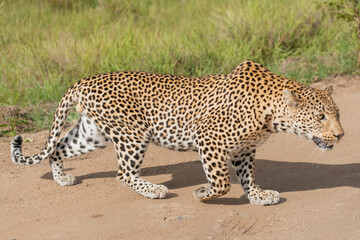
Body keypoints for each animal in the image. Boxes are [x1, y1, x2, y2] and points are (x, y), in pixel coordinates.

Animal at [9, 60, 344, 204]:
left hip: (94, 134)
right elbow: (222, 180)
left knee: (57, 148)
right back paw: (154, 190)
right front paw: (204, 193)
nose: (341, 135)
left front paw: (258, 195)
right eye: (320, 116)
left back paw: (62, 179)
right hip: (133, 134)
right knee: (123, 173)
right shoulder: (209, 138)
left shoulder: (245, 149)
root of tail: (86, 79)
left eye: (337, 115)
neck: (272, 114)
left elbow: (247, 176)